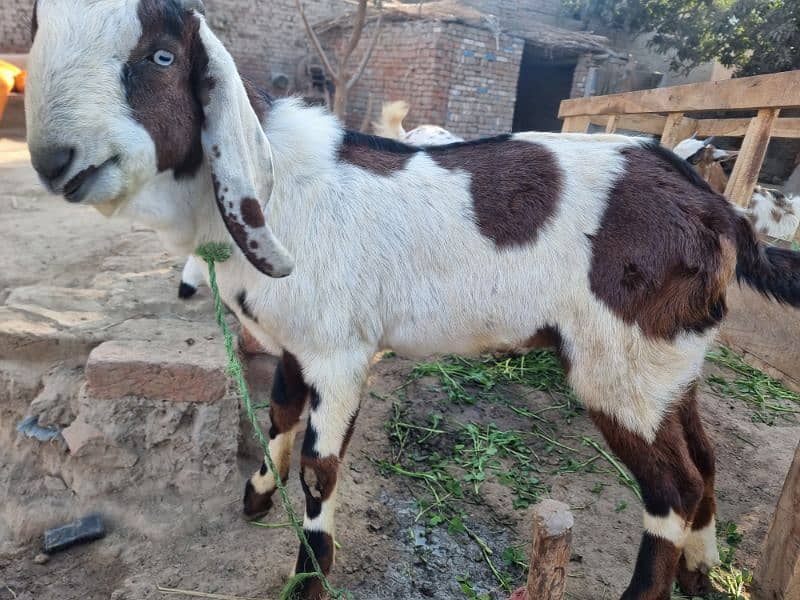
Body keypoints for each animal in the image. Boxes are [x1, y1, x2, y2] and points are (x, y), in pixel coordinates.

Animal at [23, 2, 800, 596]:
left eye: (159, 56)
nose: (54, 161)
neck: (280, 191)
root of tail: (720, 211)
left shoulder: (340, 353)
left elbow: (319, 469)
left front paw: (308, 579)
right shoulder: (300, 343)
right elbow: (278, 415)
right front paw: (255, 499)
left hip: (619, 364)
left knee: (673, 488)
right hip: (669, 360)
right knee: (704, 464)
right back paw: (701, 573)